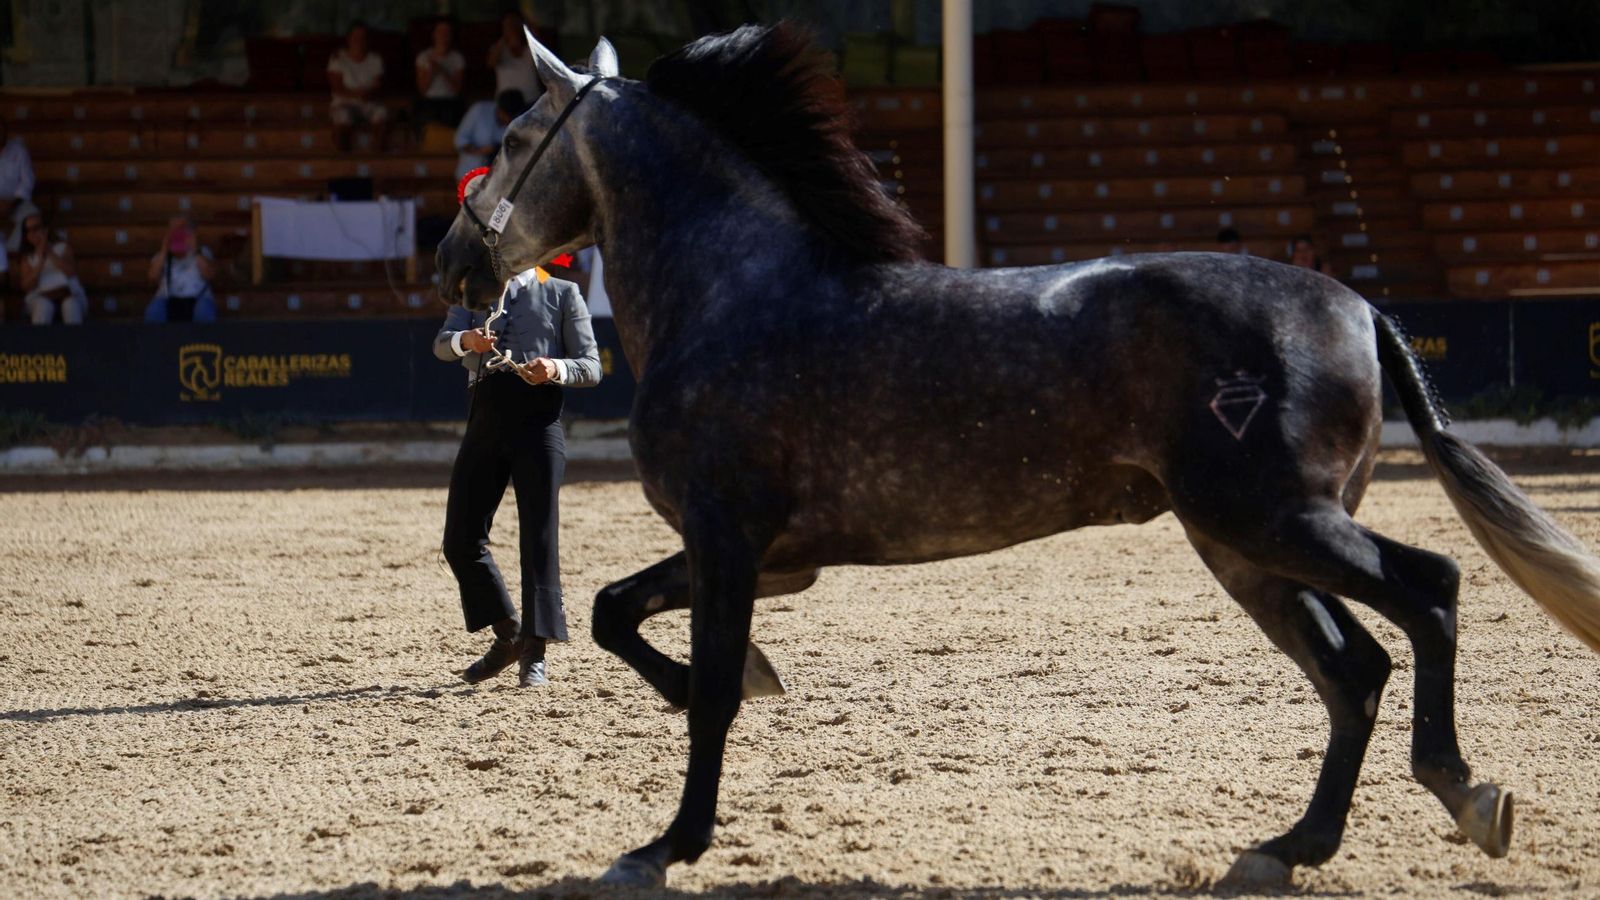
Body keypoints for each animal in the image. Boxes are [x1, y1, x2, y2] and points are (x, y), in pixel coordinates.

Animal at [436, 23, 1600, 890]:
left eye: (520, 131)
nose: (452, 260)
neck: (734, 294)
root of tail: (1359, 307)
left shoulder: (730, 539)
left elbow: (712, 687)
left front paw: (666, 845)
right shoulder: (772, 558)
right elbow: (612, 611)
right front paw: (727, 697)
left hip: (1274, 521)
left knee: (1429, 591)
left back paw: (1465, 792)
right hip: (1244, 546)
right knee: (1353, 668)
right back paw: (1287, 849)